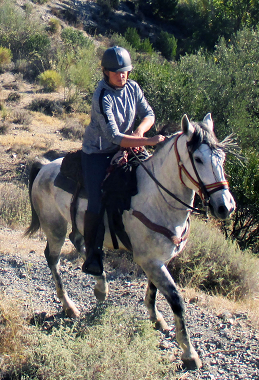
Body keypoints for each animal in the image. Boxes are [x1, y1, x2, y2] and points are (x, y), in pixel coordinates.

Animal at [25, 113, 237, 372]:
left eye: (222, 158)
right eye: (197, 158)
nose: (225, 207)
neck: (158, 198)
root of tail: (44, 167)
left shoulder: (158, 259)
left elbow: (153, 289)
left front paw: (156, 318)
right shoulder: (150, 260)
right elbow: (176, 300)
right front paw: (189, 353)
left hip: (77, 224)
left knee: (80, 243)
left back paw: (100, 284)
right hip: (55, 227)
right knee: (53, 259)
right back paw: (69, 305)